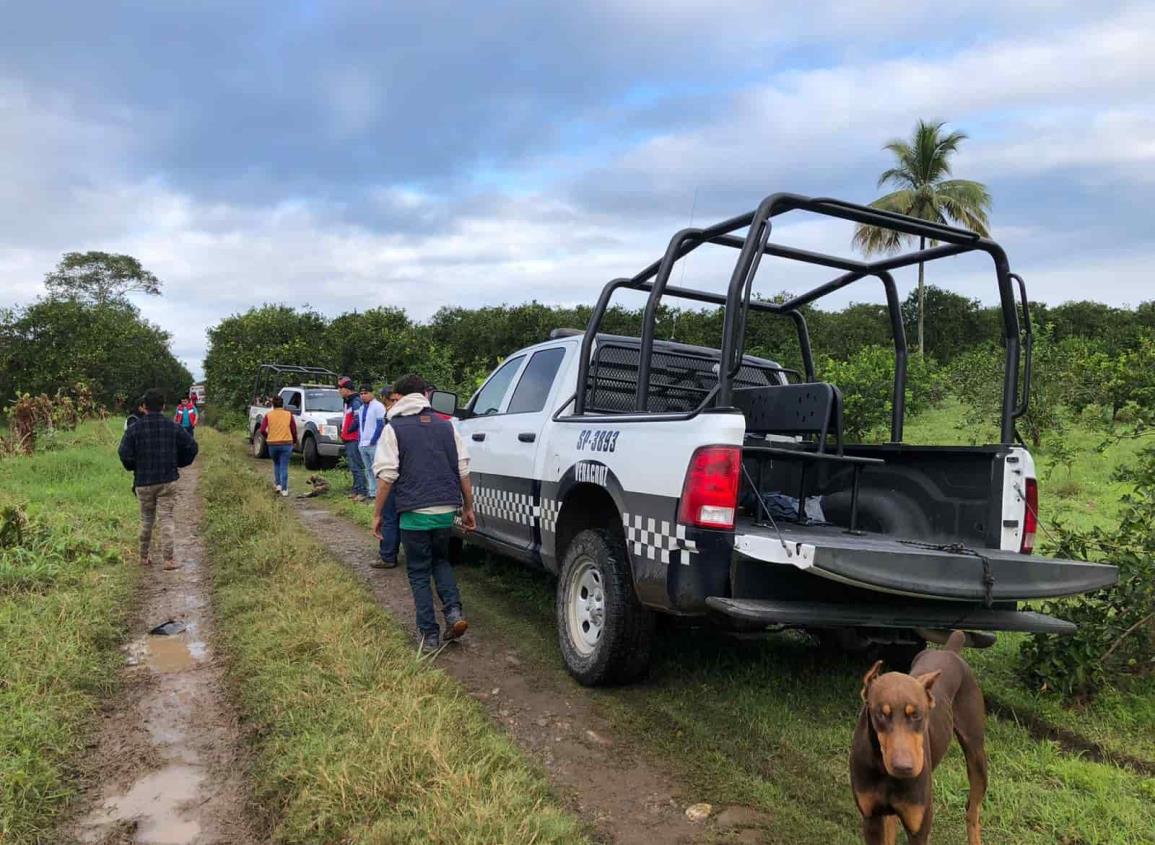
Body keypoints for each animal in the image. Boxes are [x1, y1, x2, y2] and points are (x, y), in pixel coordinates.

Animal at [854, 632, 988, 845]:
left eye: (917, 714)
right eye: (881, 714)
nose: (904, 767)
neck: (883, 770)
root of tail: (949, 650)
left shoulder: (919, 828)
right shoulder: (871, 818)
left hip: (976, 754)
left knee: (972, 809)